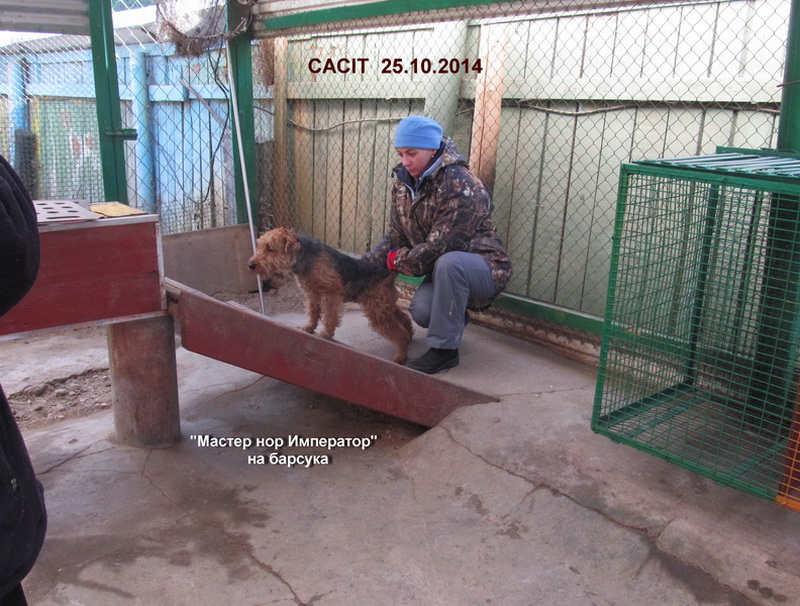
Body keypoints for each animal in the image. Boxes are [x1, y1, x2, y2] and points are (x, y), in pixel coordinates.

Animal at [247, 227, 413, 364]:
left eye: (270, 248)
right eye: (259, 245)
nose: (250, 265)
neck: (305, 257)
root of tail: (388, 270)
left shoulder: (329, 293)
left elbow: (328, 317)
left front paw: (326, 334)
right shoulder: (312, 293)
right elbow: (313, 312)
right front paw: (309, 327)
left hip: (377, 310)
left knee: (399, 334)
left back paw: (400, 356)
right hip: (384, 304)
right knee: (405, 319)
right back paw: (409, 336)